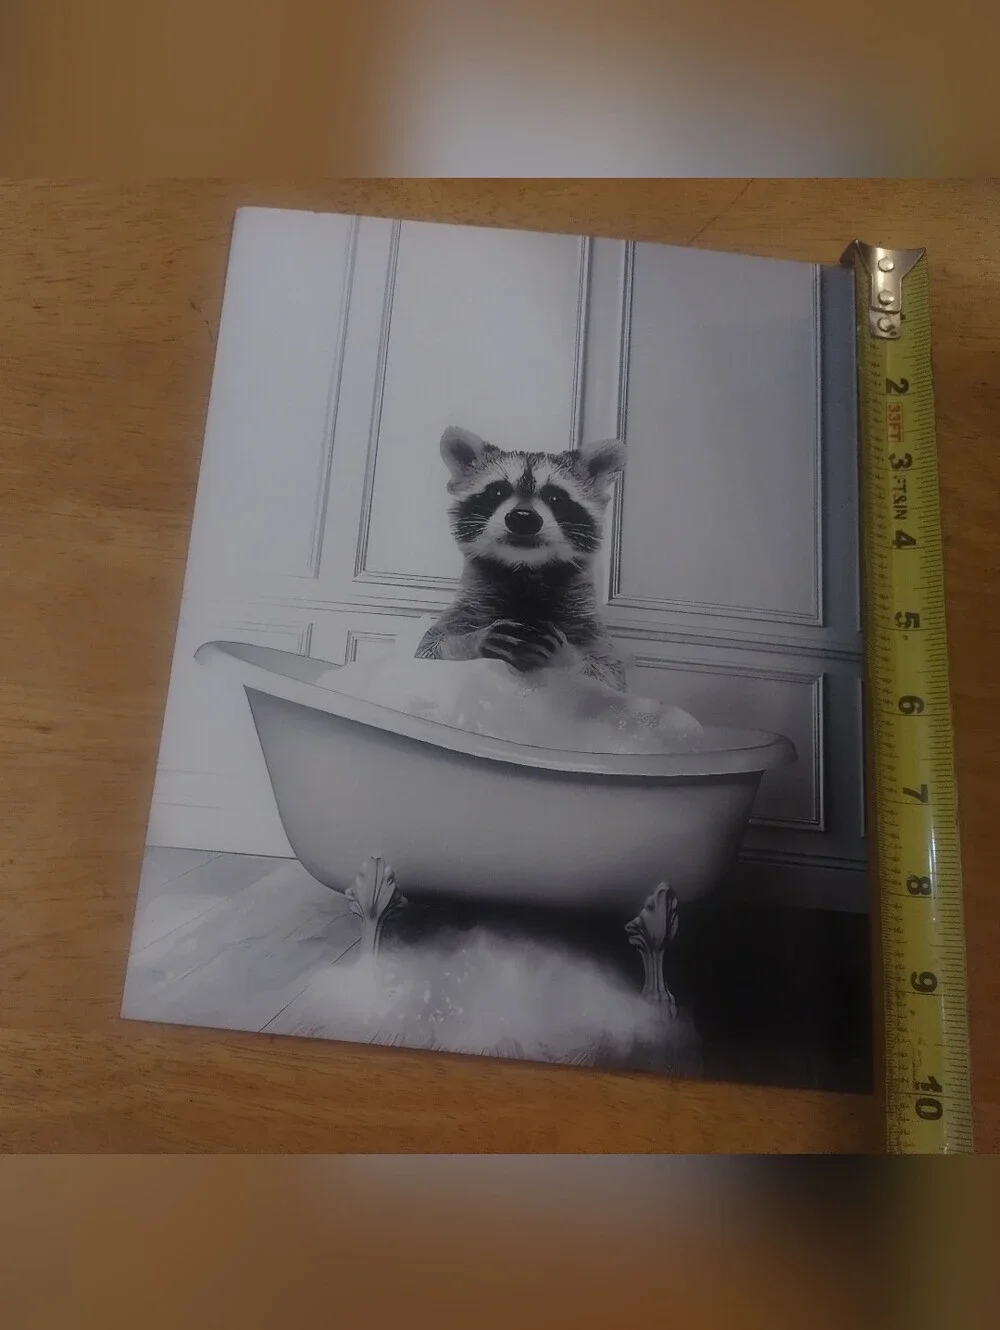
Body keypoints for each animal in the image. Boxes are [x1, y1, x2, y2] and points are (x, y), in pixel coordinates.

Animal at [415, 426, 627, 691]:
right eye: (498, 491)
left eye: (555, 498)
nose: (523, 517)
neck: (524, 569)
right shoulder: (469, 608)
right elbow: (428, 650)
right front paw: (470, 641)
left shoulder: (586, 624)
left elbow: (608, 675)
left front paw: (566, 656)